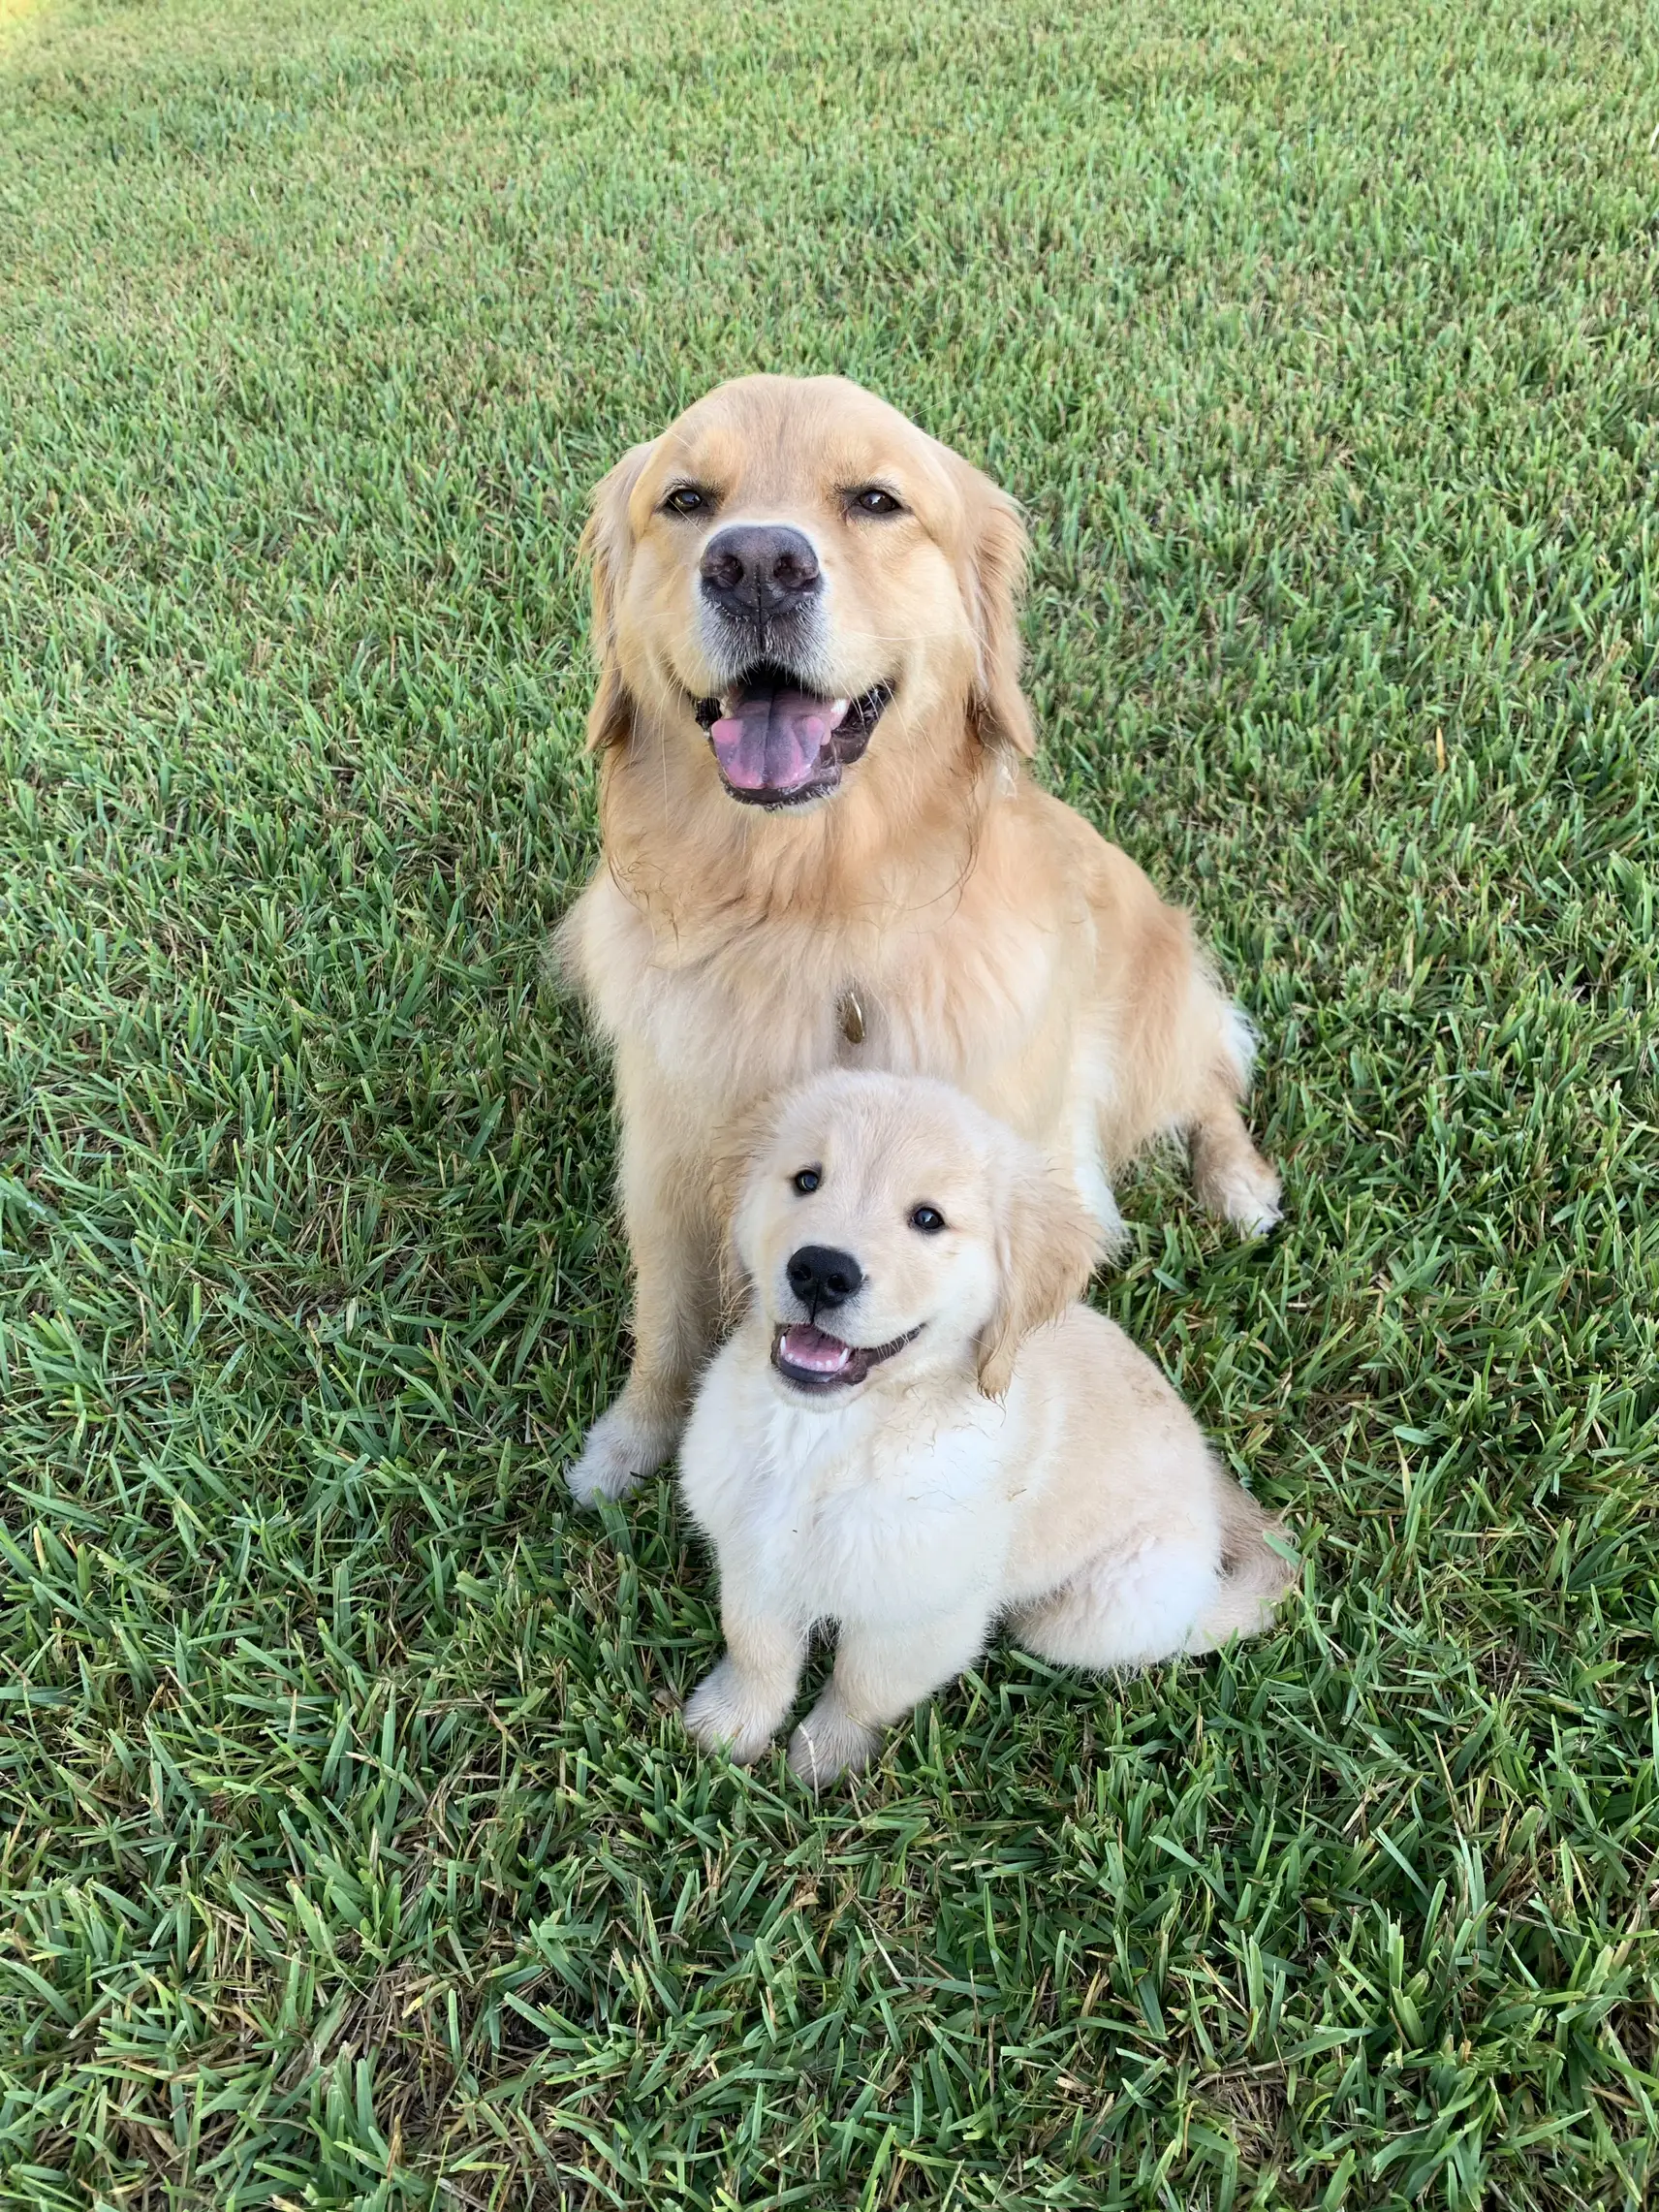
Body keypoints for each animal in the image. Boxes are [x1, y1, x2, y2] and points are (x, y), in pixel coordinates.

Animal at [566, 375, 1282, 1503]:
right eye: (684, 500)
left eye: (875, 500)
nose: (755, 564)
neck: (808, 914)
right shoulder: (665, 1151)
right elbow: (665, 1315)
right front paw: (630, 1445)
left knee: (1208, 1080)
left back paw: (1241, 1186)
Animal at [676, 1075, 1300, 1795]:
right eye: (807, 1180)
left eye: (928, 1219)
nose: (821, 1271)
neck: (828, 1438)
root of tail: (1208, 1480)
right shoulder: (754, 1553)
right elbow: (757, 1649)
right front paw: (730, 1724)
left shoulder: (925, 1616)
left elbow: (863, 1687)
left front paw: (824, 1759)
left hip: (1092, 1613)